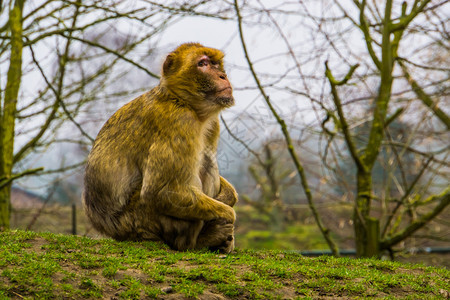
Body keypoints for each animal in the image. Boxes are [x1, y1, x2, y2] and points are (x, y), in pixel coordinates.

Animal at [84, 42, 239, 253]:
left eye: (215, 64)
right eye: (203, 64)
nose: (223, 75)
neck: (181, 100)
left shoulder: (212, 124)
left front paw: (229, 196)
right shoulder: (178, 120)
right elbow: (160, 192)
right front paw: (227, 213)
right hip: (140, 218)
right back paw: (202, 240)